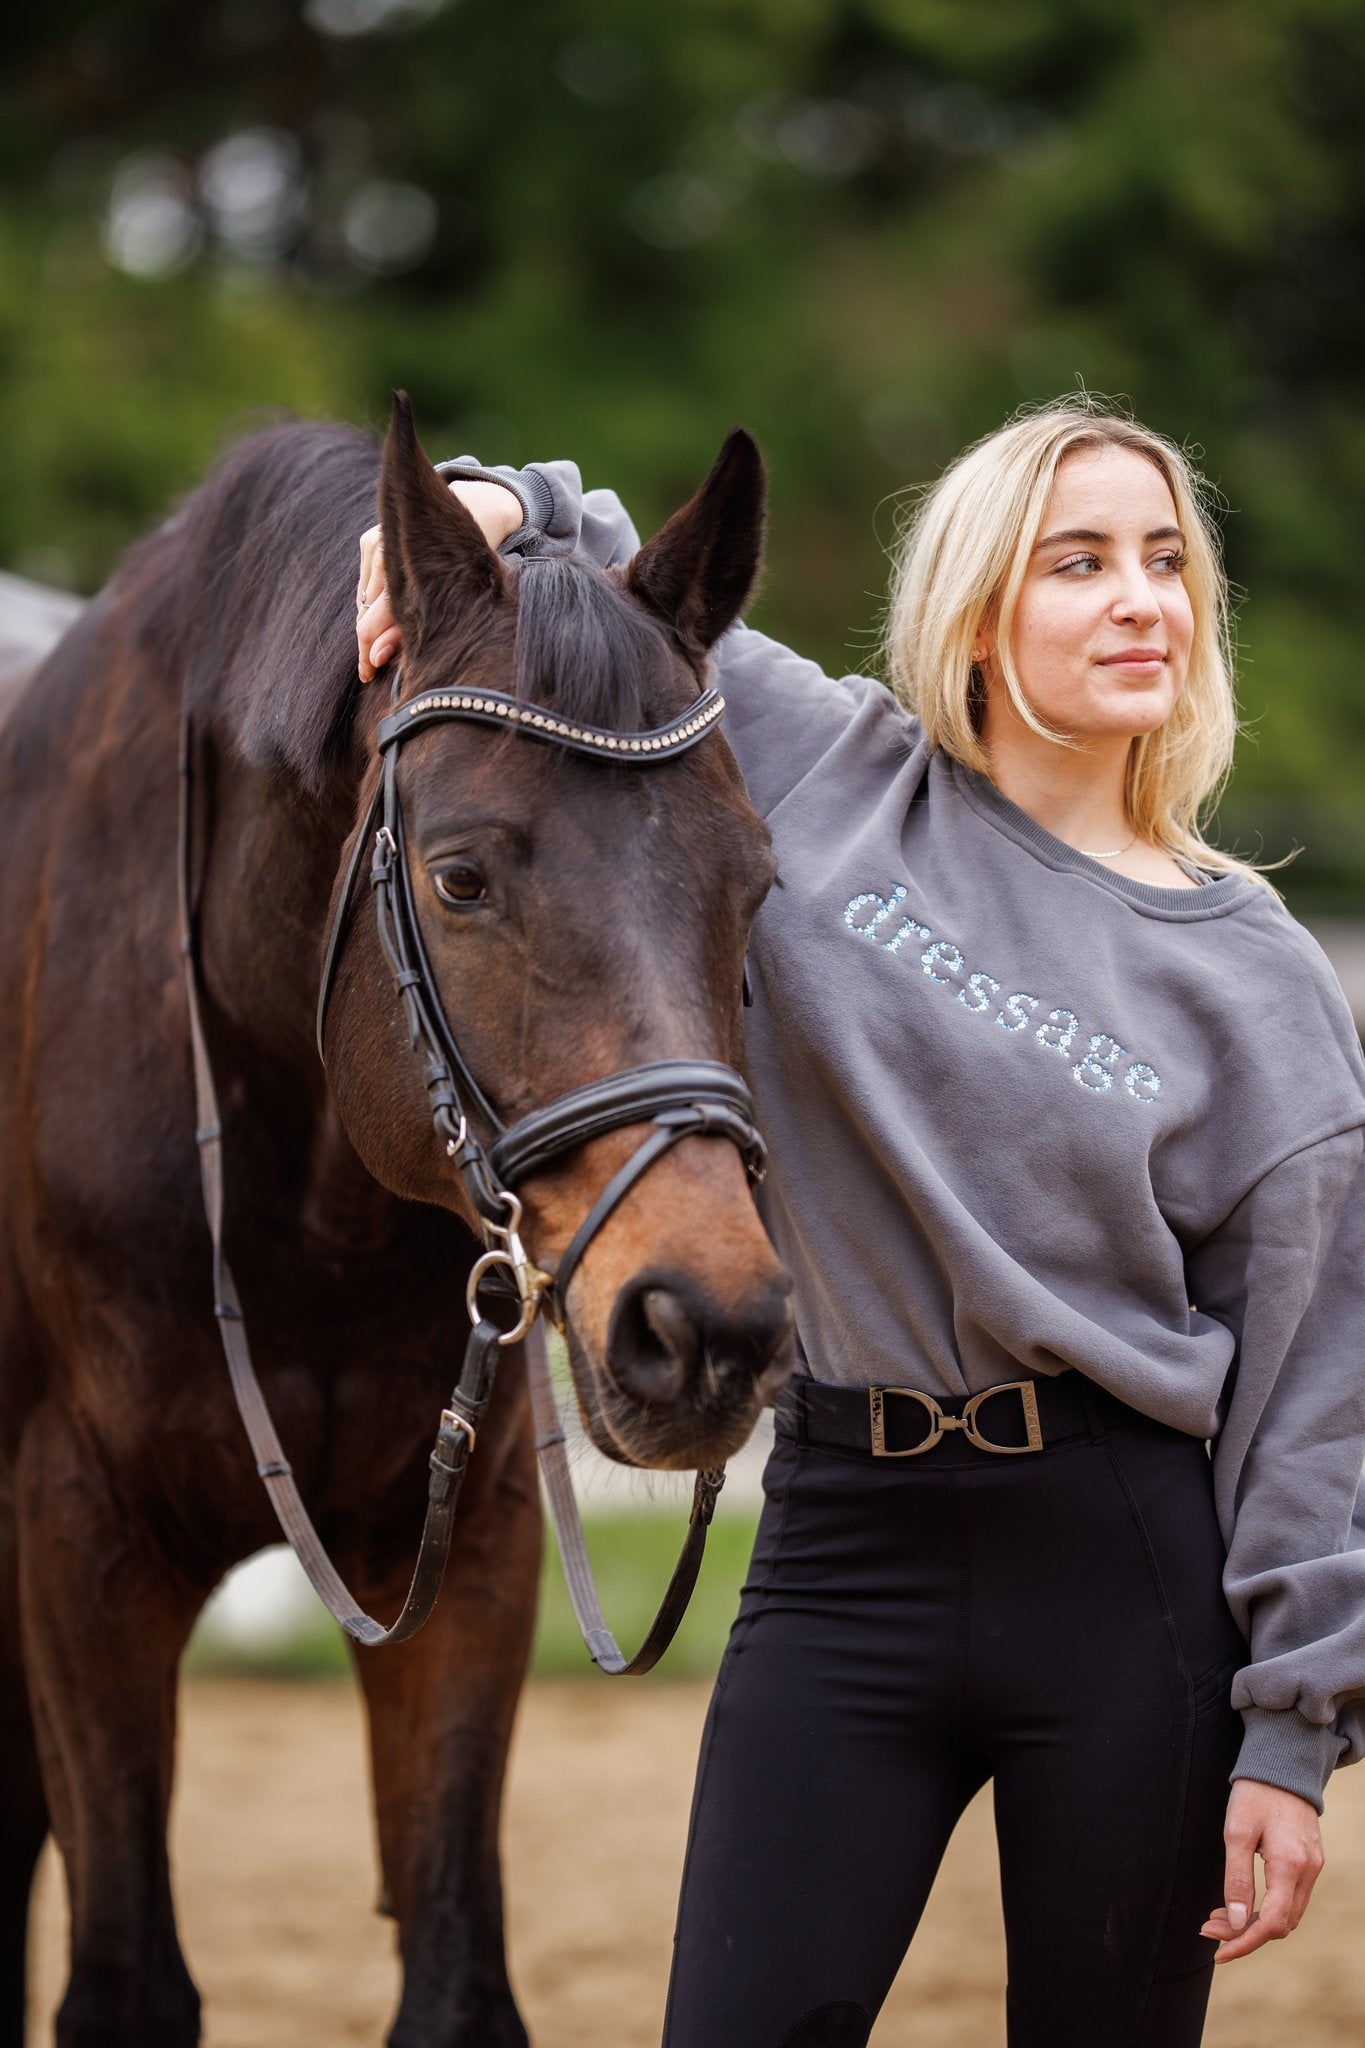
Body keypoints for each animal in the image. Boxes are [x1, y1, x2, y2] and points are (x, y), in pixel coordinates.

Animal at [0, 403, 794, 2048]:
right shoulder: (79, 1535)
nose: (708, 1328)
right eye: (461, 876)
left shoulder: (463, 1553)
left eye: (754, 883)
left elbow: (453, 1978)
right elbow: (125, 1982)